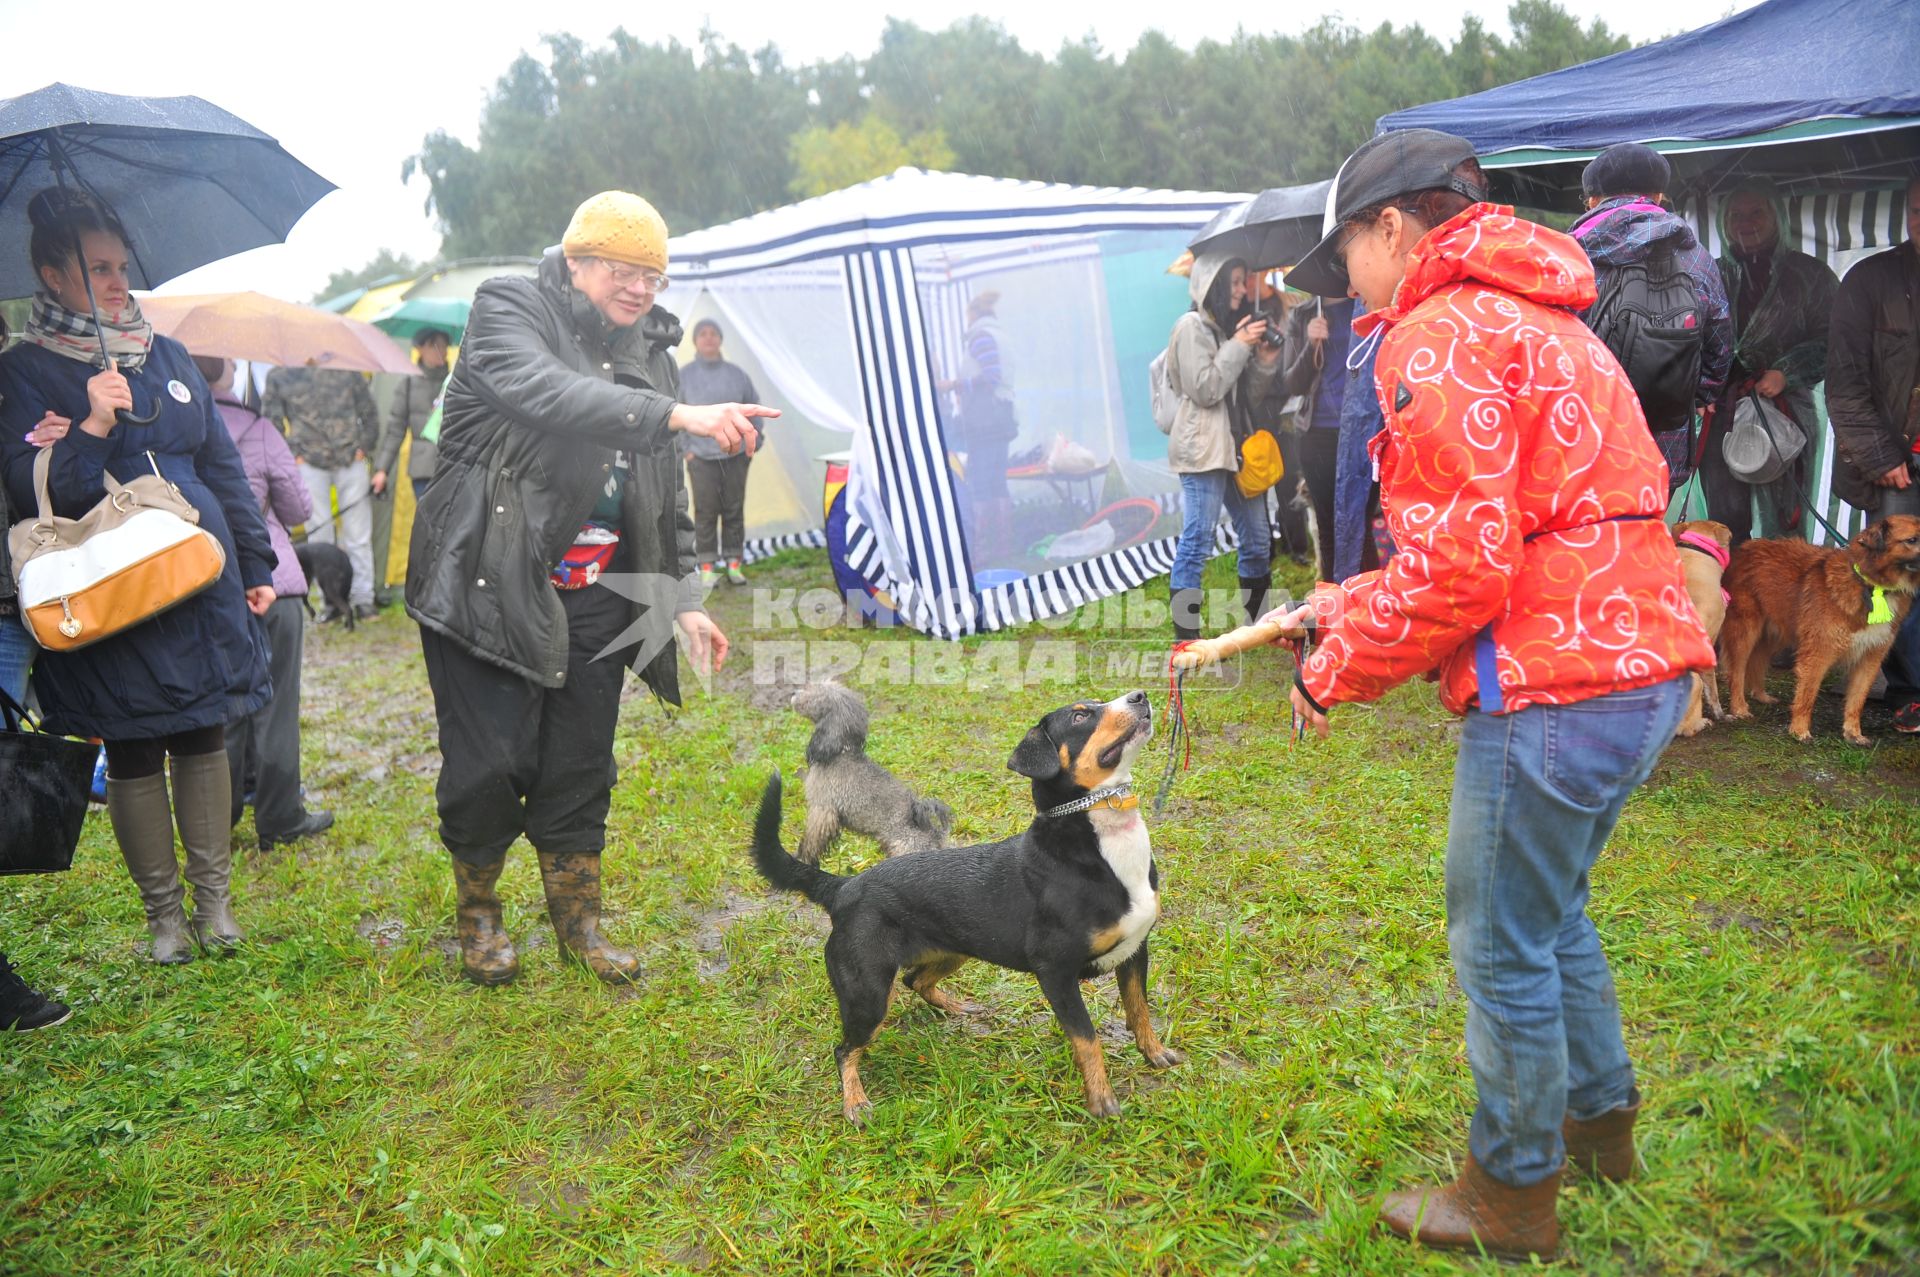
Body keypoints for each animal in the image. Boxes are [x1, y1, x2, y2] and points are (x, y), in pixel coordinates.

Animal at [787, 683, 952, 860]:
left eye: (815, 690)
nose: (793, 692)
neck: (841, 752)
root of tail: (935, 836)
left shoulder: (822, 810)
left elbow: (811, 843)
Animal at [1720, 514, 1920, 741]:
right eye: (1912, 540)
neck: (1872, 585)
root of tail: (1742, 550)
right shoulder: (1817, 653)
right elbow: (1807, 694)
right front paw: (1799, 730)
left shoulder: (1870, 657)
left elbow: (1857, 700)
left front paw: (1853, 733)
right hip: (1745, 631)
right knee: (1737, 673)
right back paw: (1739, 708)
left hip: (1773, 634)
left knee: (1757, 661)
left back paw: (1761, 695)